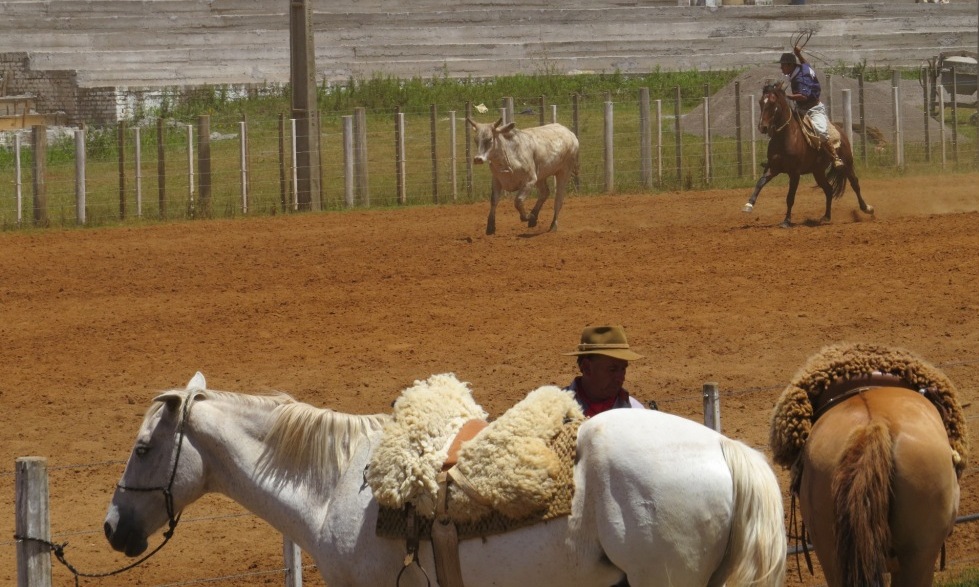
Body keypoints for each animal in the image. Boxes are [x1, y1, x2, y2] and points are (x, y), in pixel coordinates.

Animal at [748, 82, 876, 227]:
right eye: (760, 102)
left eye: (772, 102)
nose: (762, 127)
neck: (786, 137)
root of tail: (841, 132)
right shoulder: (773, 168)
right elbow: (760, 183)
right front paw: (749, 204)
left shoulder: (795, 173)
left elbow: (790, 197)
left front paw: (786, 221)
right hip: (818, 171)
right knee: (829, 189)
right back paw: (826, 216)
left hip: (847, 164)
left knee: (855, 184)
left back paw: (867, 208)